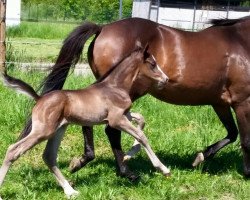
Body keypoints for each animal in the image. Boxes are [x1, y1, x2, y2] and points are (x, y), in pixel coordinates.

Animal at [0, 47, 169, 198]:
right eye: (152, 64)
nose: (166, 79)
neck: (115, 87)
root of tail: (40, 98)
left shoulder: (123, 115)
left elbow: (141, 120)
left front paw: (129, 155)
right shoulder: (116, 120)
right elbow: (141, 135)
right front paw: (163, 168)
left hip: (59, 129)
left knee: (49, 156)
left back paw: (70, 191)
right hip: (43, 131)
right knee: (13, 150)